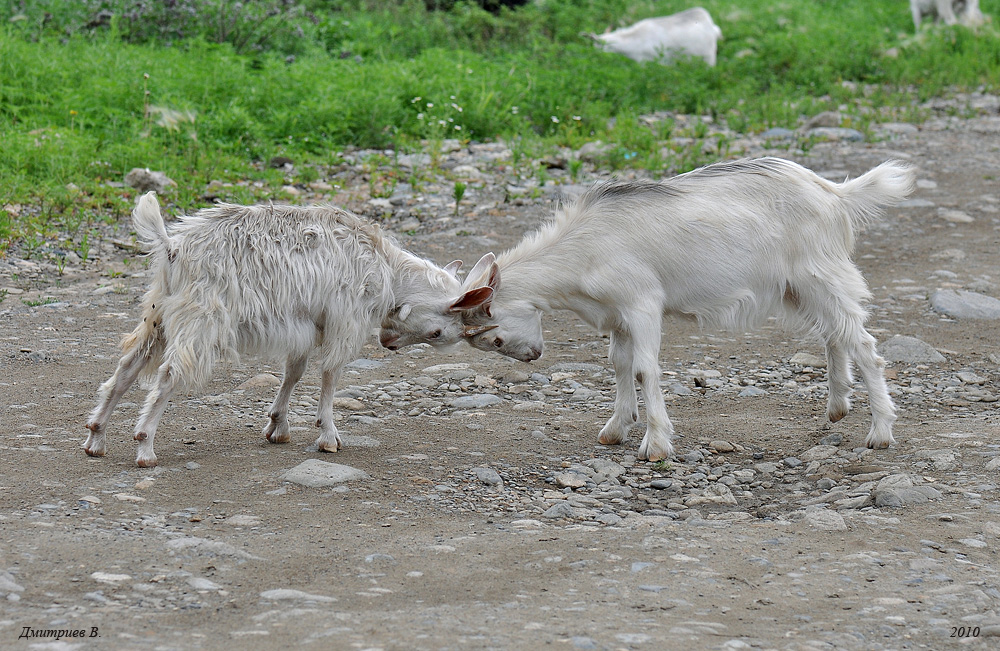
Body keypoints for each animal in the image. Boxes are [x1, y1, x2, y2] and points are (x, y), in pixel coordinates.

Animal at [87, 194, 488, 468]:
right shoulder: (344, 320)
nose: (387, 343)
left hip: (158, 315)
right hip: (201, 317)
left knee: (127, 367)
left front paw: (277, 426)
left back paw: (96, 438)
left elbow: (294, 371)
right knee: (169, 373)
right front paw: (328, 435)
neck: (387, 269)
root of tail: (173, 246)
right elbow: (330, 373)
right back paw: (144, 447)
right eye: (438, 334)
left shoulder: (306, 323)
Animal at [458, 159, 916, 464]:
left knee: (864, 344)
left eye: (494, 337)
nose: (532, 357)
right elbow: (619, 364)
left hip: (821, 275)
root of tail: (834, 193)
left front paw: (657, 444)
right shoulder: (618, 316)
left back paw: (880, 432)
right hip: (798, 289)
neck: (583, 249)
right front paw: (615, 429)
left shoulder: (642, 304)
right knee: (834, 334)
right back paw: (837, 406)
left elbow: (645, 369)